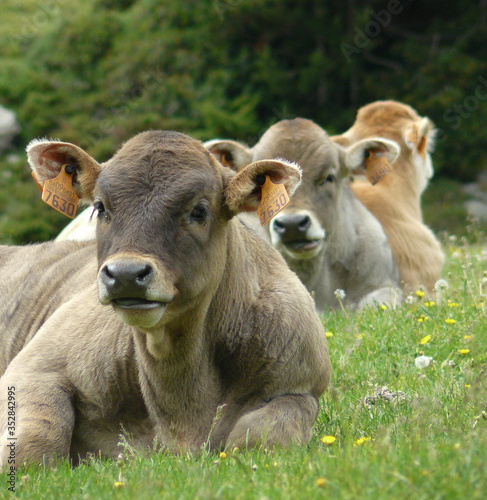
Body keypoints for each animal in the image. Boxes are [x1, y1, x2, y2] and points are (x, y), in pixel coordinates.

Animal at [0, 131, 332, 466]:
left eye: (199, 210)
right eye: (100, 208)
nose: (125, 273)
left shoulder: (298, 383)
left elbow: (264, 436)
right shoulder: (34, 370)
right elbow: (34, 445)